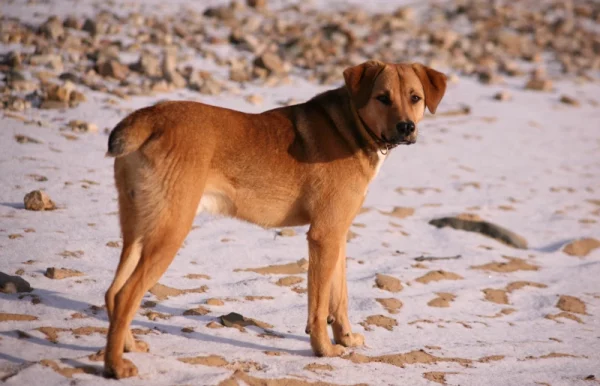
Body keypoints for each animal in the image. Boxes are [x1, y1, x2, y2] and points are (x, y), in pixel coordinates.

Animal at [103, 60, 446, 376]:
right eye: (382, 98)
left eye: (415, 97)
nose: (406, 128)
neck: (351, 128)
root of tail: (149, 117)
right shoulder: (323, 236)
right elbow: (319, 305)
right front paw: (324, 349)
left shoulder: (337, 234)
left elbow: (340, 296)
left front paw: (346, 338)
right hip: (170, 231)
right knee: (127, 294)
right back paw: (116, 365)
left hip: (138, 229)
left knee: (114, 293)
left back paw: (127, 346)